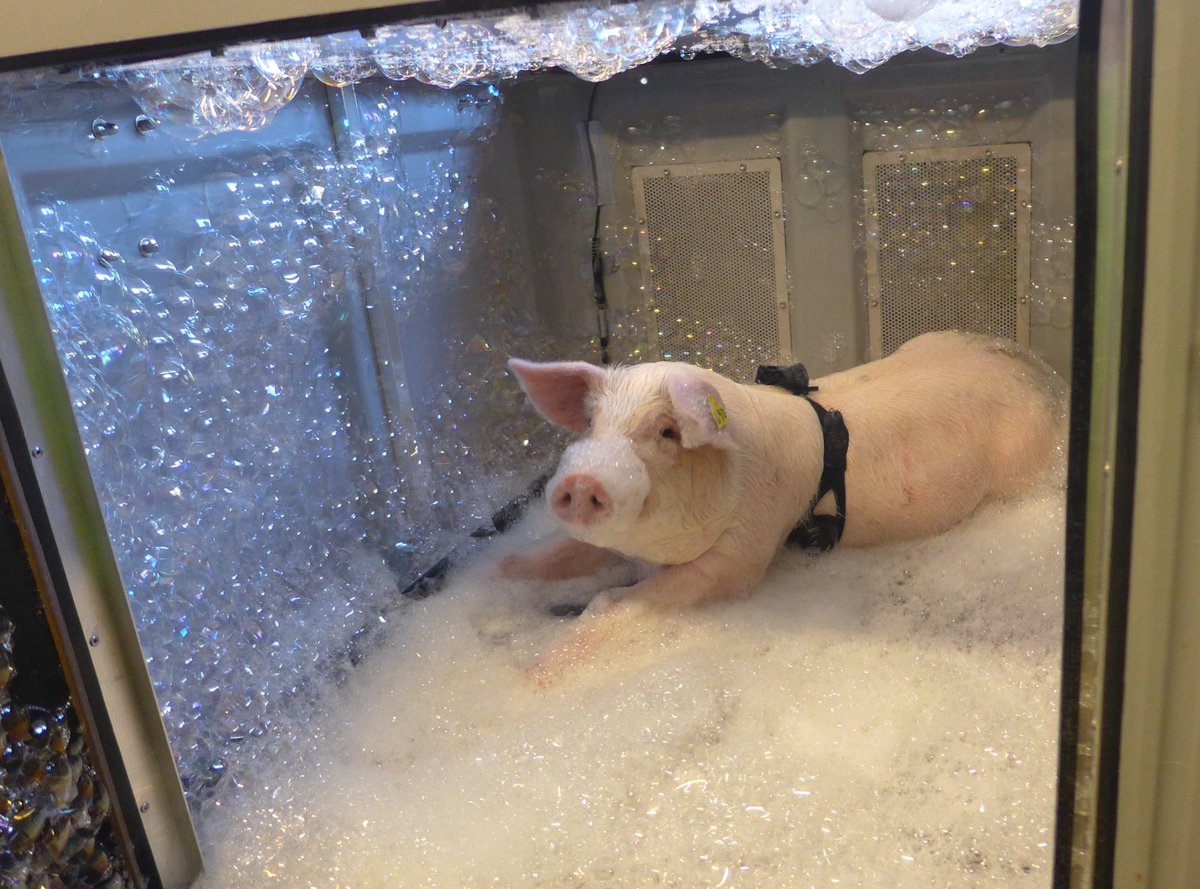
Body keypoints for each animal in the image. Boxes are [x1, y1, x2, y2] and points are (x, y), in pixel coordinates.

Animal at [503, 330, 1067, 682]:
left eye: (666, 431)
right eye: (592, 424)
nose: (581, 482)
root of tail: (1046, 375)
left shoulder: (744, 550)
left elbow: (617, 601)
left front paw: (528, 678)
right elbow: (549, 557)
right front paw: (500, 584)